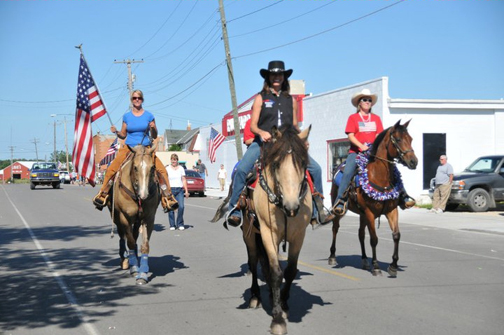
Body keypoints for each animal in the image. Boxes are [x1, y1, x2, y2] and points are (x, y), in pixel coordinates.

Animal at [108, 144, 159, 286]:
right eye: (135, 167)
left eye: (152, 167)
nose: (144, 194)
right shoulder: (124, 217)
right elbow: (130, 242)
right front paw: (135, 268)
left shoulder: (148, 218)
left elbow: (144, 246)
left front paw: (143, 274)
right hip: (117, 218)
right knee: (122, 237)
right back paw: (125, 260)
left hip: (137, 221)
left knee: (134, 236)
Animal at [239, 125, 312, 335]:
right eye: (277, 163)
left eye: (303, 162)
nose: (292, 206)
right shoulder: (268, 233)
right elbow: (276, 273)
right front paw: (278, 320)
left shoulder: (299, 235)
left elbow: (290, 271)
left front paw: (284, 304)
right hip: (249, 233)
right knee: (254, 262)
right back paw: (256, 297)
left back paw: (272, 297)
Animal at [326, 121, 418, 278]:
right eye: (398, 139)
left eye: (410, 139)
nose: (414, 162)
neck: (379, 176)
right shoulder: (369, 212)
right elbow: (374, 239)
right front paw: (376, 267)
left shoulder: (391, 211)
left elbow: (396, 235)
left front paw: (393, 266)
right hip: (340, 208)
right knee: (335, 228)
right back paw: (332, 256)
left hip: (362, 214)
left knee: (360, 234)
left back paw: (364, 260)